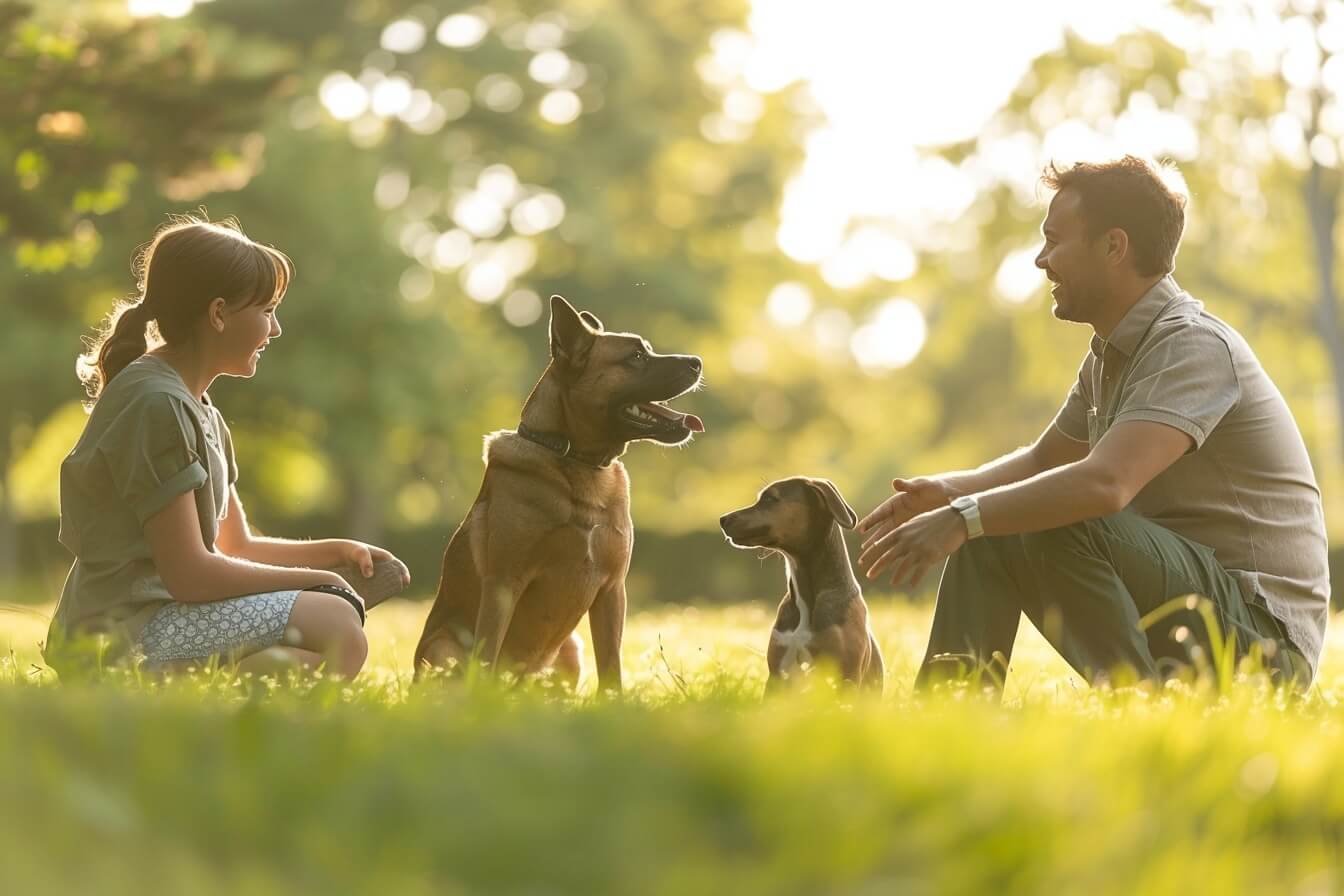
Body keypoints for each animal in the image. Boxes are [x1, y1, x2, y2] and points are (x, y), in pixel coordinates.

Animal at [416, 294, 704, 687]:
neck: (576, 459)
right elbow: (487, 658)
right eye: (636, 356)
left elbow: (611, 666)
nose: (697, 362)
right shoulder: (503, 584)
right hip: (442, 650)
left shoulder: (612, 591)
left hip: (571, 648)